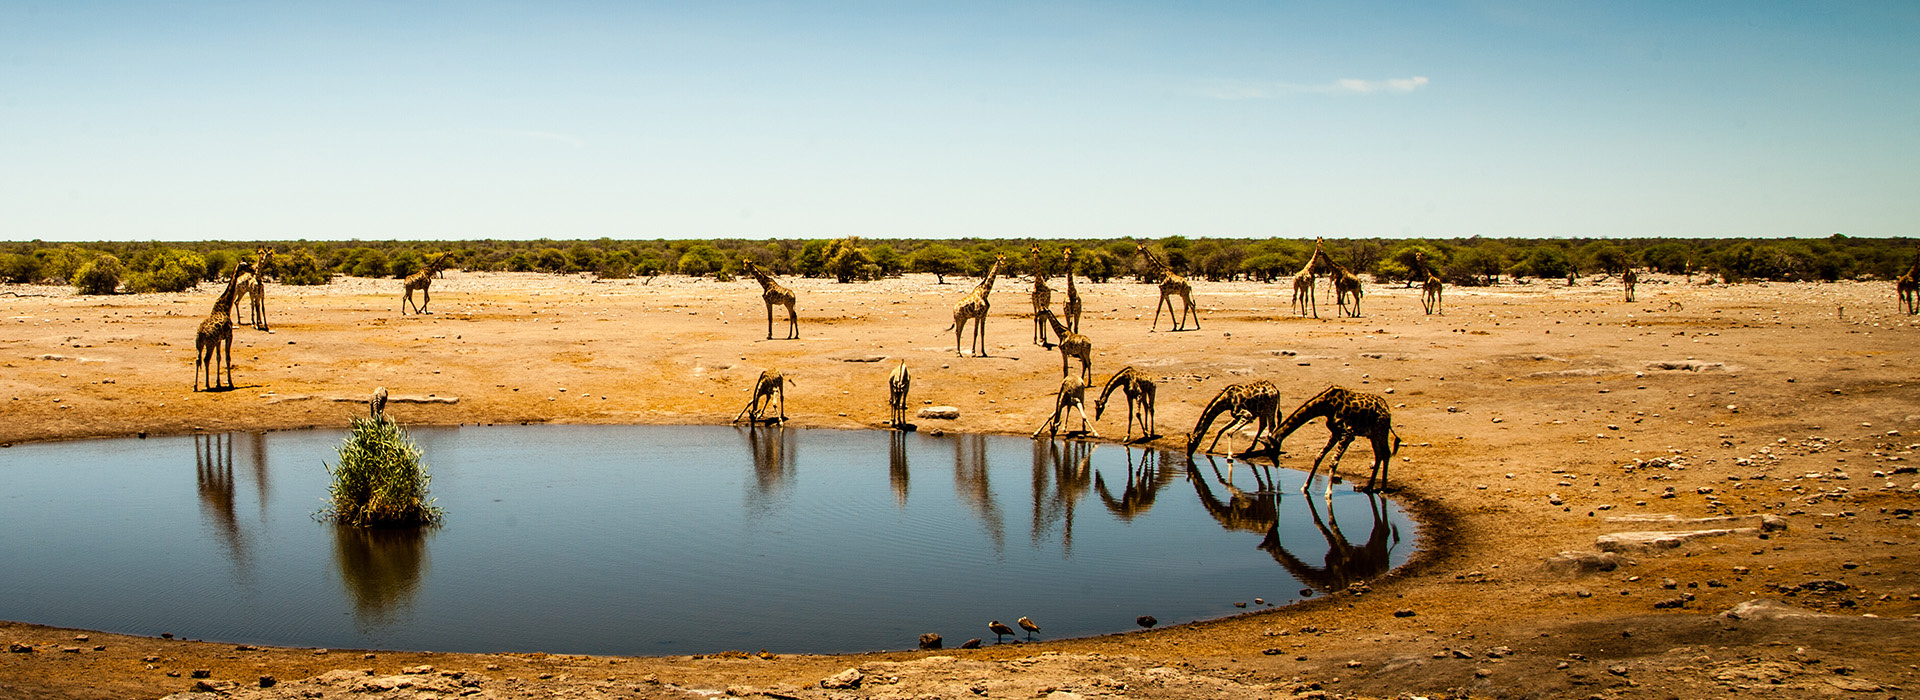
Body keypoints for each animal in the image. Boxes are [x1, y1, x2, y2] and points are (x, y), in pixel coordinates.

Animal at [1274, 383, 1413, 494]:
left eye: (1271, 448)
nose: (1276, 464)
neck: (1326, 406)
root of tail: (1386, 408)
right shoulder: (1336, 433)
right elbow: (1319, 456)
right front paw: (1305, 487)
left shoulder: (1348, 434)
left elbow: (1333, 461)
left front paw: (1328, 493)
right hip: (1373, 434)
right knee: (1379, 454)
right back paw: (1369, 486)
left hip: (1381, 430)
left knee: (1386, 453)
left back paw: (1383, 488)